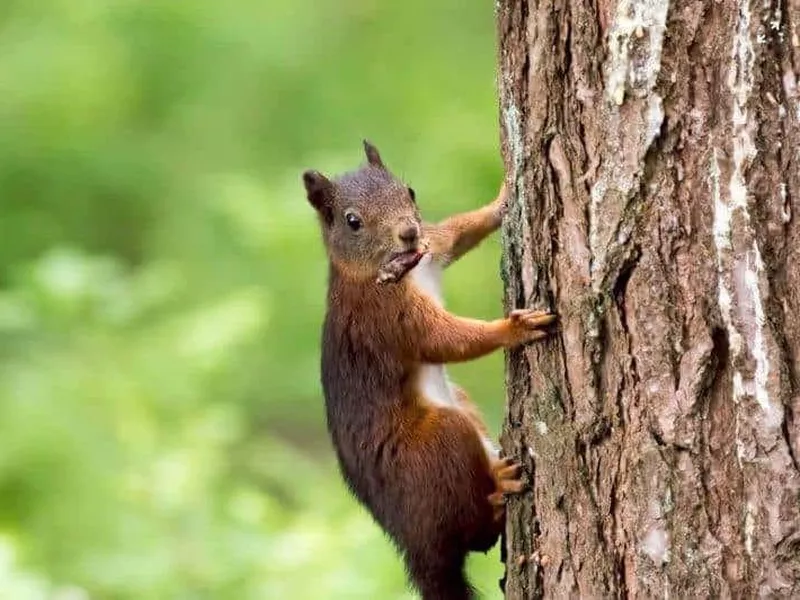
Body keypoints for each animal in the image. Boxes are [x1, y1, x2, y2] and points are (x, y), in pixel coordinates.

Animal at [304, 141, 560, 600]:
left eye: (409, 191)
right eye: (353, 221)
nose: (408, 232)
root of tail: (415, 547)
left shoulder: (434, 244)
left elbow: (460, 230)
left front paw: (503, 199)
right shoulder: (388, 317)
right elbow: (445, 340)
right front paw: (512, 328)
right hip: (439, 442)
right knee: (474, 536)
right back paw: (499, 494)